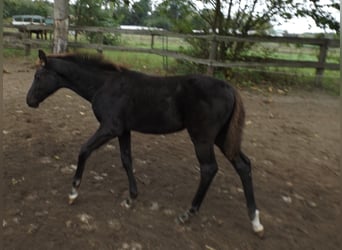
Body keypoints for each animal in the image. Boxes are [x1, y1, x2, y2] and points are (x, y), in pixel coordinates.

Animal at [27, 49, 264, 236]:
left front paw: (73, 193)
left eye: (38, 76)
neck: (105, 85)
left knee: (209, 169)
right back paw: (255, 221)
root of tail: (230, 89)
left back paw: (187, 214)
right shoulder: (123, 130)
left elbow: (84, 150)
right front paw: (131, 198)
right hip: (222, 138)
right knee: (243, 165)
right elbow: (126, 159)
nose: (29, 101)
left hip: (203, 138)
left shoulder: (110, 127)